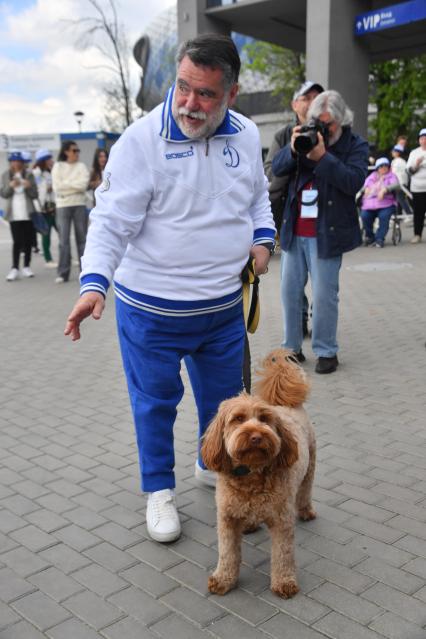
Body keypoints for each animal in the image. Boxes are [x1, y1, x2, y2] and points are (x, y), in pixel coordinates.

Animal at [201, 348, 316, 596]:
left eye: (264, 419)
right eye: (238, 419)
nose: (256, 436)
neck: (251, 473)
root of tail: (289, 406)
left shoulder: (282, 521)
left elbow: (283, 554)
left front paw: (284, 582)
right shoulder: (227, 518)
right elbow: (227, 552)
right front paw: (223, 579)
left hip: (310, 467)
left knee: (305, 492)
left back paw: (306, 511)